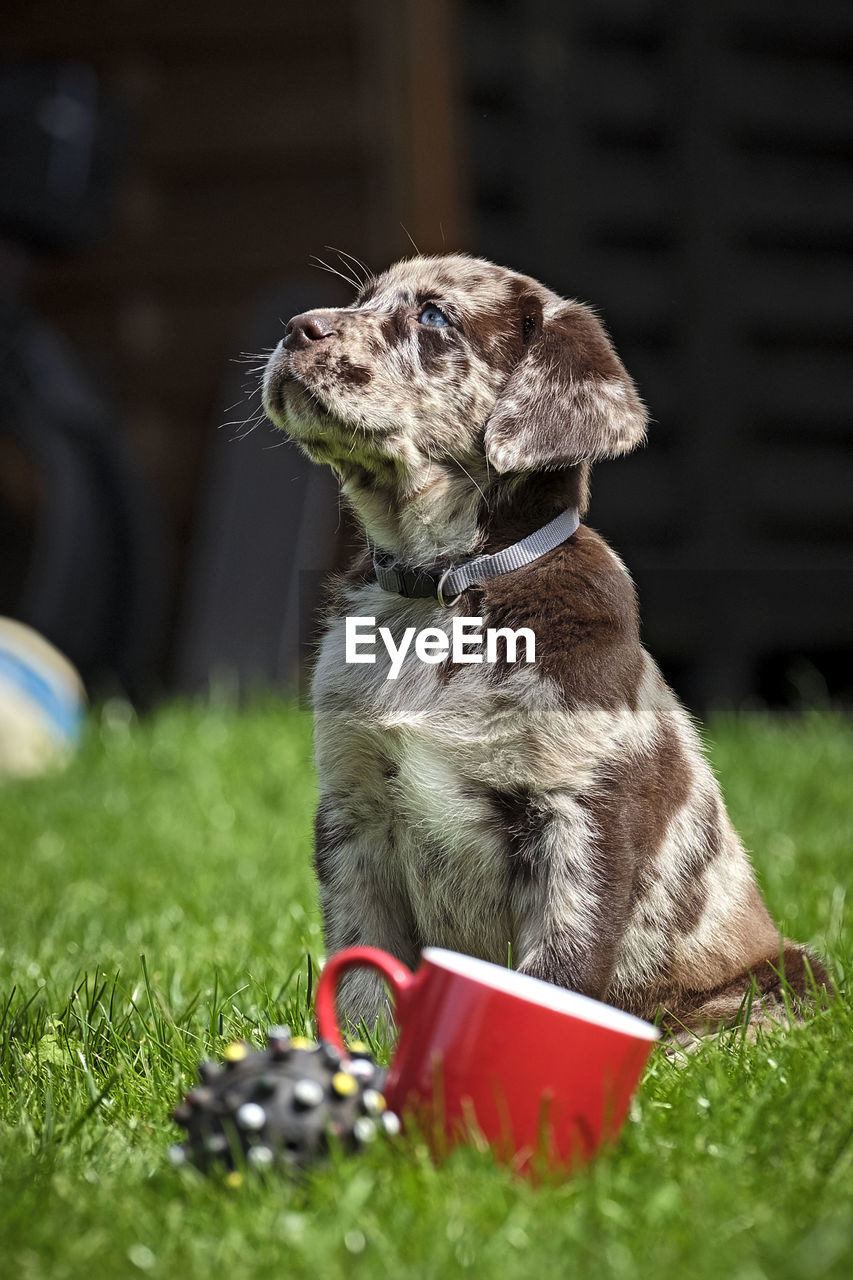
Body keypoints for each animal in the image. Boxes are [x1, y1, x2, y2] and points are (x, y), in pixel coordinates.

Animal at [262, 254, 824, 1044]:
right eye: (362, 299)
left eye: (433, 317)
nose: (295, 328)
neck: (439, 592)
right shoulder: (354, 809)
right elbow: (364, 975)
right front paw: (365, 1057)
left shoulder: (577, 815)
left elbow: (554, 973)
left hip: (788, 978)